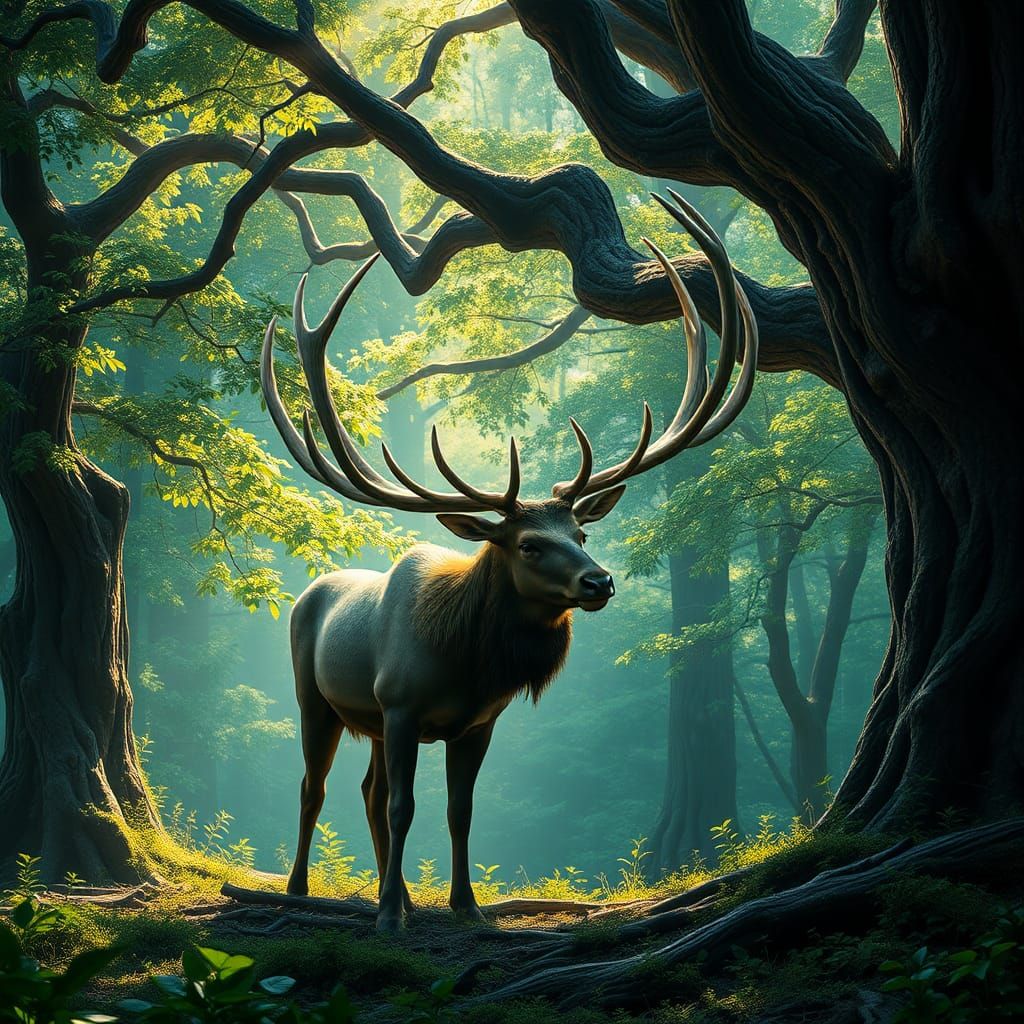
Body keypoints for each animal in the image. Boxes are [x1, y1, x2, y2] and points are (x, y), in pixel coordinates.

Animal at [259, 191, 757, 932]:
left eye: (581, 531)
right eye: (528, 544)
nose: (599, 580)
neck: (462, 660)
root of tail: (309, 591)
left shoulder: (476, 723)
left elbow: (459, 812)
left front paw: (466, 908)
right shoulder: (400, 706)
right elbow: (406, 807)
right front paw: (389, 917)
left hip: (366, 720)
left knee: (367, 790)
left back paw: (397, 892)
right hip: (315, 699)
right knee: (314, 788)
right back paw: (299, 889)